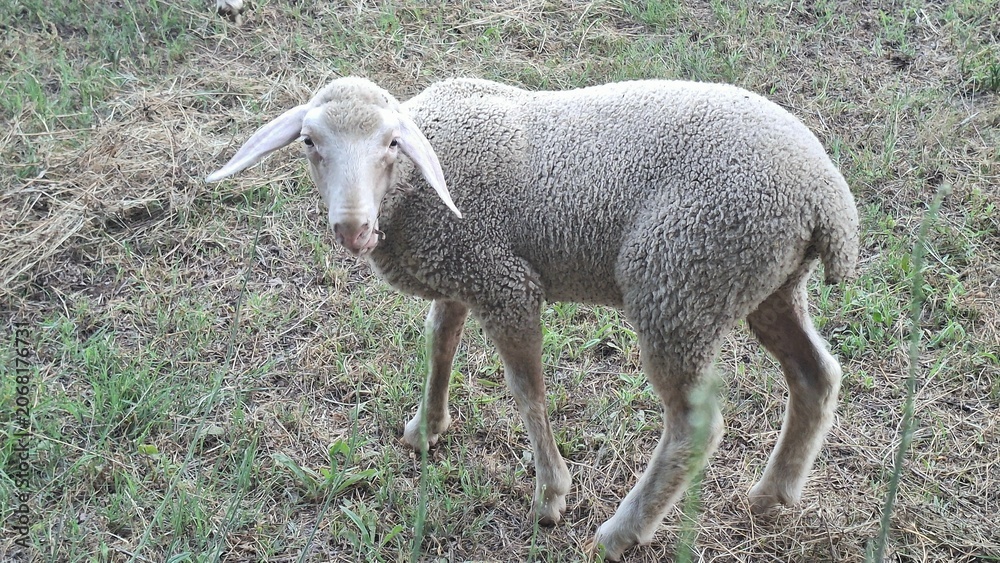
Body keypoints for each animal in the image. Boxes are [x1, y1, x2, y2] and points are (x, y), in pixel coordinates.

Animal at [205, 76, 860, 560]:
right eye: (309, 143)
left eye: (391, 143)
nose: (352, 228)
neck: (418, 187)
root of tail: (826, 201)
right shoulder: (462, 269)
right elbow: (439, 341)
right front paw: (426, 428)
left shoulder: (506, 283)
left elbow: (527, 390)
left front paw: (551, 494)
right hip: (763, 285)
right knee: (816, 376)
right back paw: (773, 494)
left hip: (679, 283)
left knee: (695, 425)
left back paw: (620, 532)